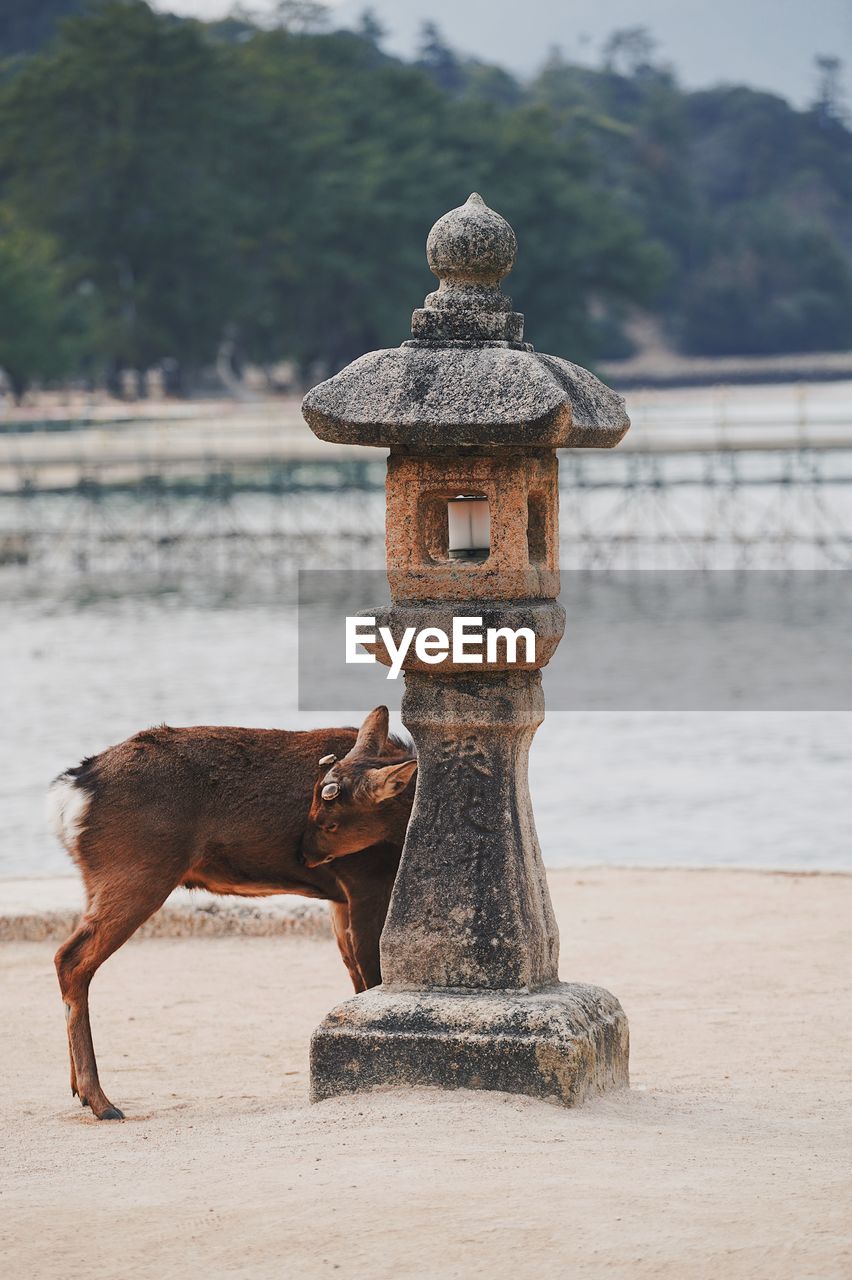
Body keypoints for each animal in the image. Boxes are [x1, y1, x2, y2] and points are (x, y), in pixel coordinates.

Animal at [47, 711, 414, 1121]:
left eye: (329, 820)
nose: (302, 854)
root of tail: (70, 792)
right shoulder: (367, 879)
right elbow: (372, 973)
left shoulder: (339, 896)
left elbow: (354, 975)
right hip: (135, 870)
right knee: (71, 958)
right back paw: (102, 1102)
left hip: (97, 880)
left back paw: (79, 1090)